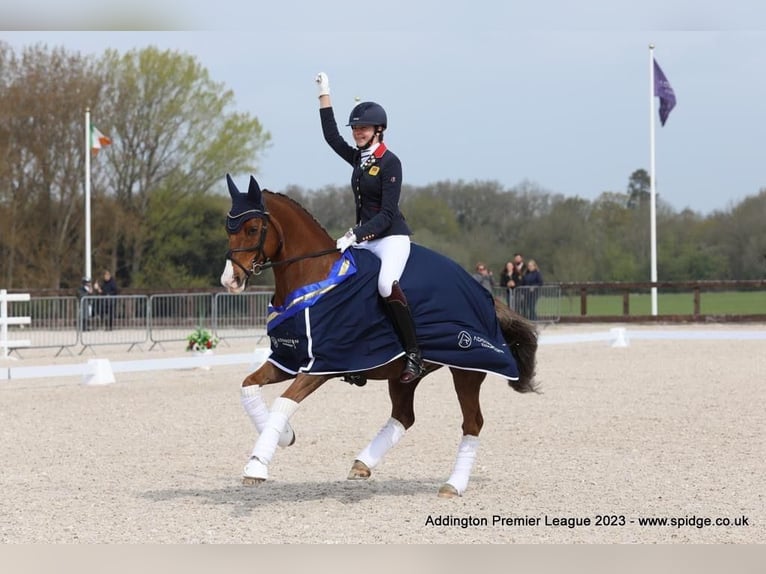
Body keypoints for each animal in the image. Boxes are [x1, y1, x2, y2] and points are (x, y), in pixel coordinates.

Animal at [218, 176, 540, 500]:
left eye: (253, 229)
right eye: (228, 229)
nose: (229, 281)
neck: (314, 274)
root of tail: (483, 293)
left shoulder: (322, 365)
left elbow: (282, 403)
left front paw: (256, 466)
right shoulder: (288, 358)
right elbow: (248, 387)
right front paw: (285, 435)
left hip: (466, 366)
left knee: (472, 422)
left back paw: (453, 485)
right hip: (403, 376)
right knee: (404, 416)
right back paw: (362, 464)